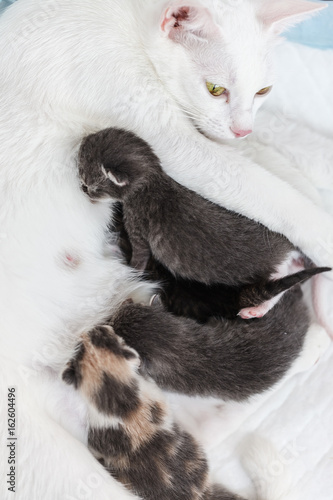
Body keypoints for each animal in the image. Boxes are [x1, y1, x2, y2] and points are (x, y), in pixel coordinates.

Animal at [78, 126, 330, 320]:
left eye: (89, 182)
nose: (84, 191)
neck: (152, 178)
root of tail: (289, 246)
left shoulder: (138, 225)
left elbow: (139, 258)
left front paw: (129, 268)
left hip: (271, 266)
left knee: (281, 278)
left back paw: (256, 309)